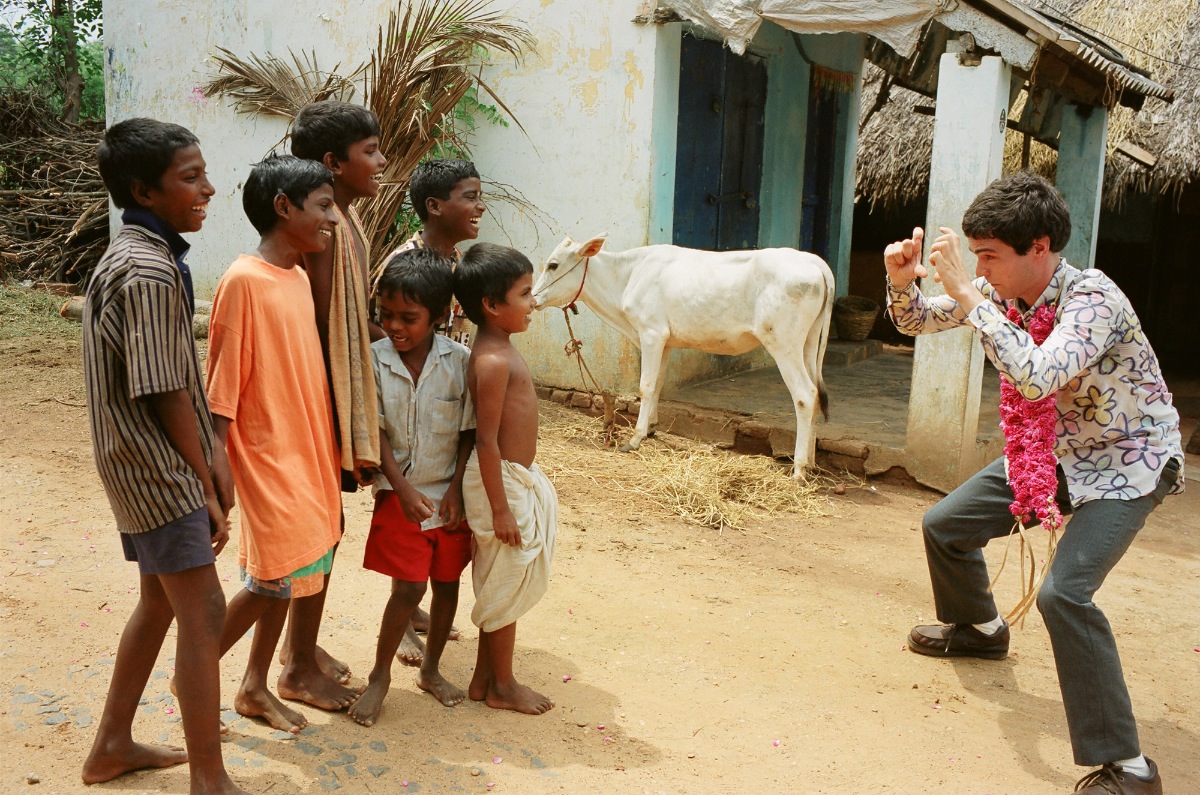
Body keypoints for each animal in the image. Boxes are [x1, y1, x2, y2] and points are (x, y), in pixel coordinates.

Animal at [535, 234, 835, 475]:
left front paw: (635, 438)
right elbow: (657, 385)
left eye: (553, 265)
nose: (534, 299)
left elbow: (645, 386)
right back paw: (810, 462)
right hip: (808, 344)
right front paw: (651, 428)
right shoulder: (665, 341)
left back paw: (798, 469)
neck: (627, 278)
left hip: (783, 343)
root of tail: (813, 262)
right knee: (816, 394)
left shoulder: (651, 333)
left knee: (805, 395)